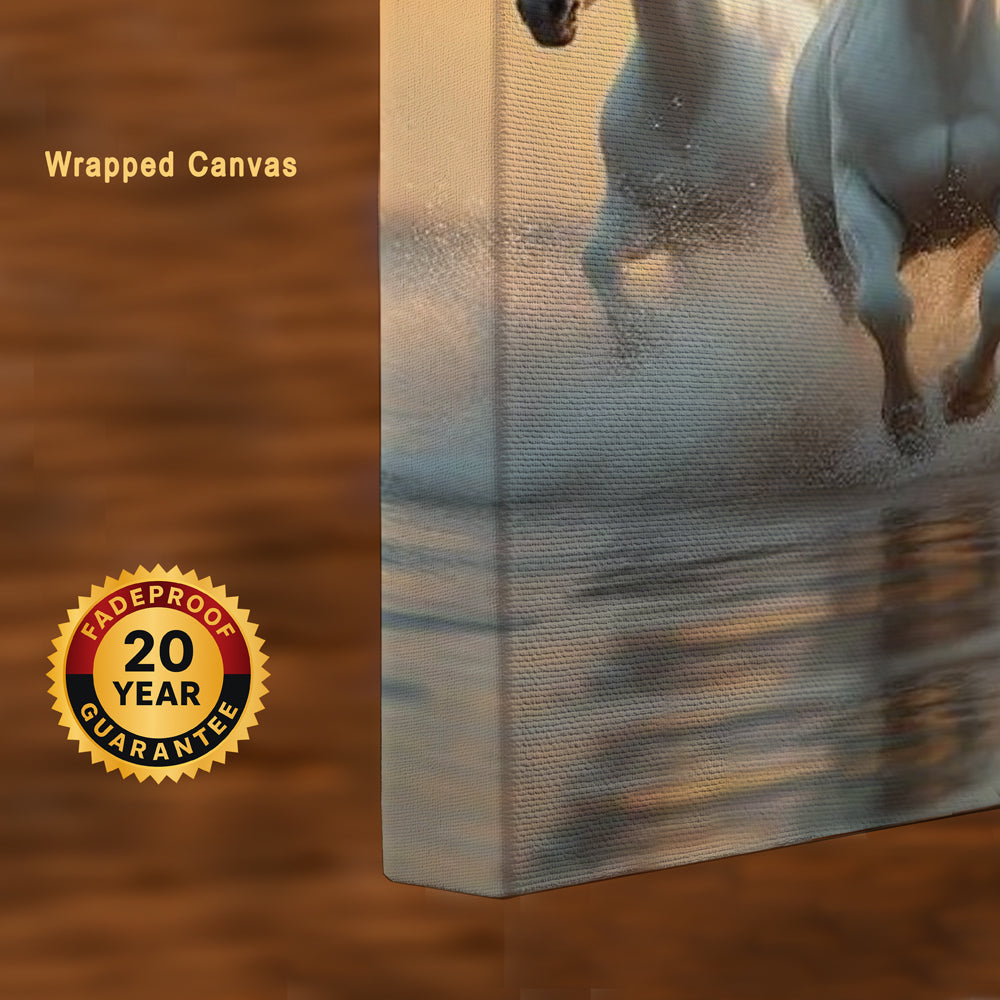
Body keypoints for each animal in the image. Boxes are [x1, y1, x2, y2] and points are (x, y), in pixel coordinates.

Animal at [788, 0, 1000, 455]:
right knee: (847, 300)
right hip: (822, 232)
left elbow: (995, 295)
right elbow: (882, 305)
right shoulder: (862, 195)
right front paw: (907, 422)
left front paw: (964, 395)